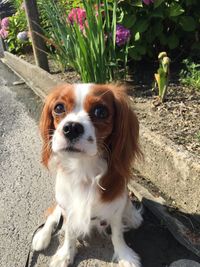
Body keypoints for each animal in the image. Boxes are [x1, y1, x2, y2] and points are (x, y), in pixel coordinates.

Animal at [32, 84, 142, 267]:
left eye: (101, 112)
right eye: (59, 108)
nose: (71, 127)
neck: (83, 169)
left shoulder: (116, 207)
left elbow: (117, 234)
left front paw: (125, 256)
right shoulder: (68, 208)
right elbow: (69, 233)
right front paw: (65, 255)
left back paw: (132, 216)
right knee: (52, 217)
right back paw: (42, 236)